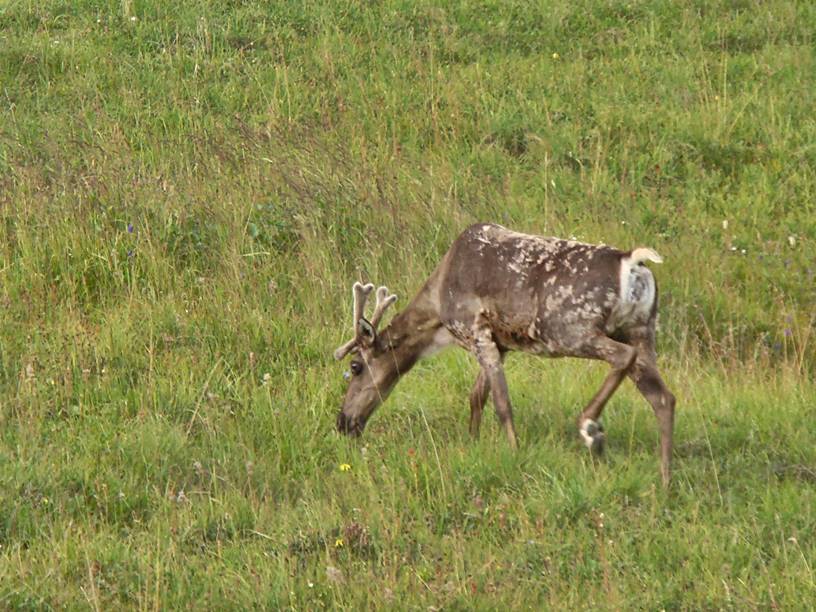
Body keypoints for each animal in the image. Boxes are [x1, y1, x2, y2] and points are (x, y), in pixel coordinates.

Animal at [334, 222, 676, 486]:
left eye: (356, 366)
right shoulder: (501, 342)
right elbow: (476, 396)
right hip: (642, 329)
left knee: (623, 357)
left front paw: (513, 453)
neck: (438, 321)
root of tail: (632, 262)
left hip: (569, 328)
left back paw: (590, 427)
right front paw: (472, 443)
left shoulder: (474, 329)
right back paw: (664, 480)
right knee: (663, 397)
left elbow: (501, 402)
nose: (342, 422)